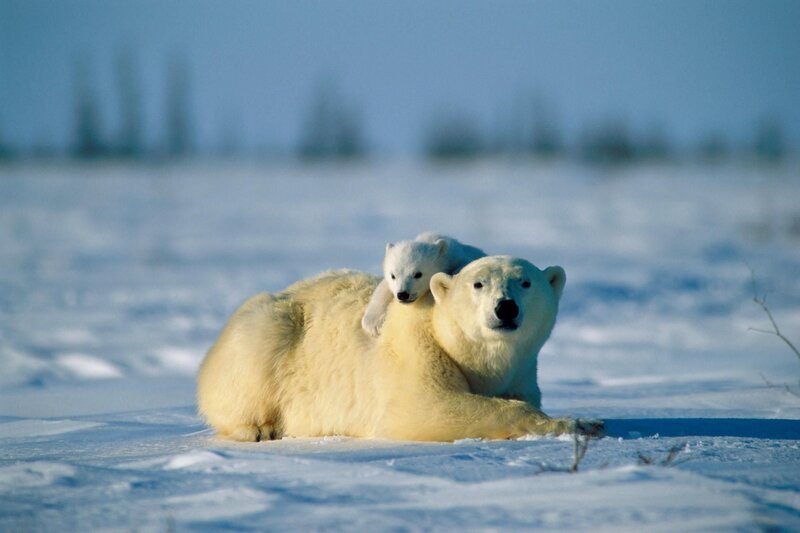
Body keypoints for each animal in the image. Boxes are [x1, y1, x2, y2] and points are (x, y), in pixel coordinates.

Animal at [196, 255, 603, 442]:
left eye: (526, 281)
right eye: (478, 284)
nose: (506, 308)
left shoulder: (521, 371)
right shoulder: (415, 349)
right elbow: (427, 406)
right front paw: (582, 423)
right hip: (269, 330)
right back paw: (260, 428)